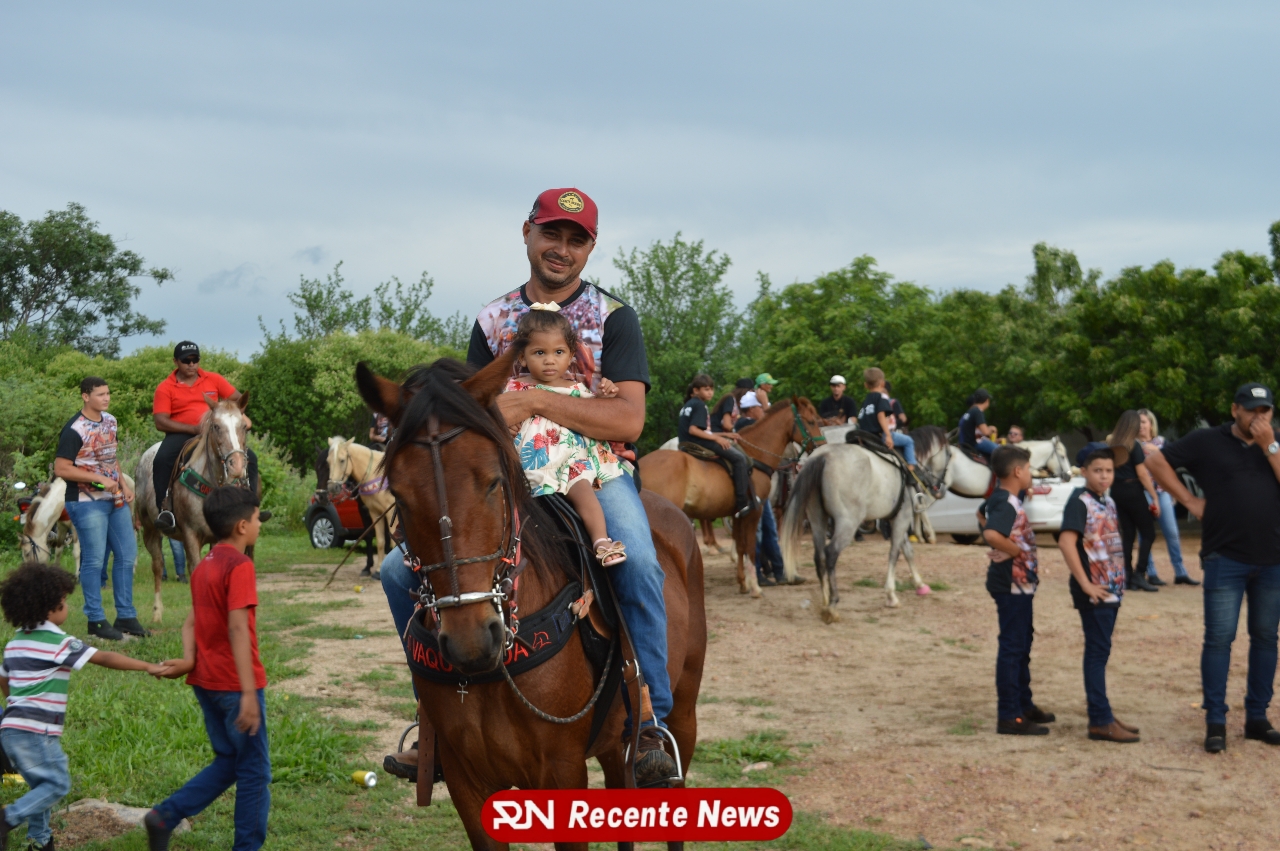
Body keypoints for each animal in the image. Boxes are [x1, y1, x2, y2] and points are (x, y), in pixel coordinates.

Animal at [134, 395, 258, 623]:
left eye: (244, 426)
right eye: (216, 426)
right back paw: (157, 613)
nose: (236, 466)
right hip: (150, 530)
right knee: (157, 566)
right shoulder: (191, 534)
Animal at [326, 437, 396, 575]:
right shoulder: (375, 513)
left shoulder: (390, 512)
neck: (376, 473)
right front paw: (378, 570)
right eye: (328, 461)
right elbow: (380, 541)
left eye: (342, 460)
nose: (332, 487)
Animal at [355, 349, 706, 851]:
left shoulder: (562, 774)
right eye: (399, 495)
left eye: (494, 481)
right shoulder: (466, 782)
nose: (471, 641)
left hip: (683, 712)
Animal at [639, 399, 826, 598]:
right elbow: (751, 547)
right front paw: (755, 587)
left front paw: (743, 583)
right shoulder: (755, 511)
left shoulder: (738, 512)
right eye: (811, 421)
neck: (754, 456)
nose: (822, 447)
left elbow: (741, 546)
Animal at [780, 426, 953, 620]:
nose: (942, 489)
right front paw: (891, 595)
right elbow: (894, 553)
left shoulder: (895, 519)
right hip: (847, 523)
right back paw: (832, 603)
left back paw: (824, 600)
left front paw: (919, 584)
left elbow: (908, 551)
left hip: (817, 519)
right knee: (831, 553)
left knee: (819, 556)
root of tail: (823, 456)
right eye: (949, 454)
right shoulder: (902, 518)